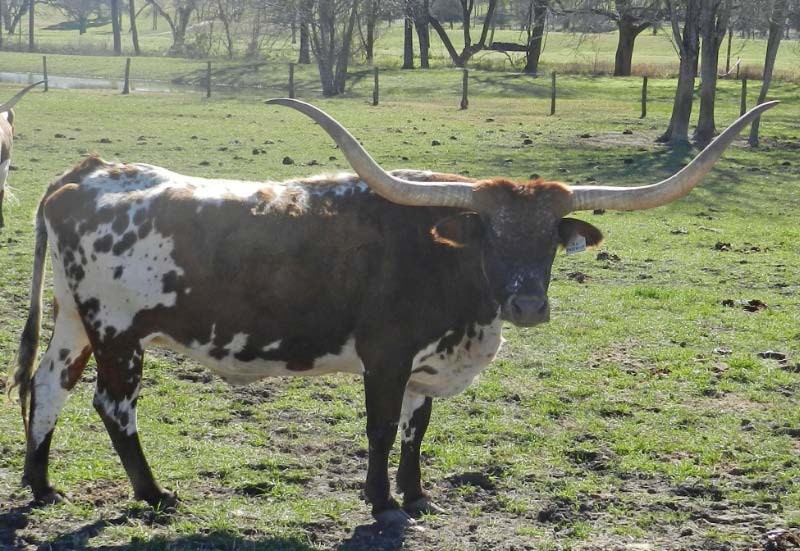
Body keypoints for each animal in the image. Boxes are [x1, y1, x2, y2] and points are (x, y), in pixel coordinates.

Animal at [8, 99, 777, 527]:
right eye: (491, 233)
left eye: (548, 240)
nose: (528, 303)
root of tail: (85, 173)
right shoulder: (386, 355)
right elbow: (381, 428)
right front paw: (379, 500)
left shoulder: (425, 365)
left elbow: (415, 430)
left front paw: (417, 497)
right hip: (118, 329)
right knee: (112, 405)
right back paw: (152, 494)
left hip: (73, 319)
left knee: (48, 387)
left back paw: (42, 486)